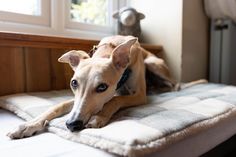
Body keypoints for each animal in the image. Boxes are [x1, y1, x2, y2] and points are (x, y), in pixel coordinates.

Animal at [6, 35, 184, 139]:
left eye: (102, 87)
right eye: (74, 83)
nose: (72, 124)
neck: (111, 47)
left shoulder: (139, 95)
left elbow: (115, 100)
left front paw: (98, 117)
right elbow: (59, 105)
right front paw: (28, 125)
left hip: (153, 63)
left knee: (175, 84)